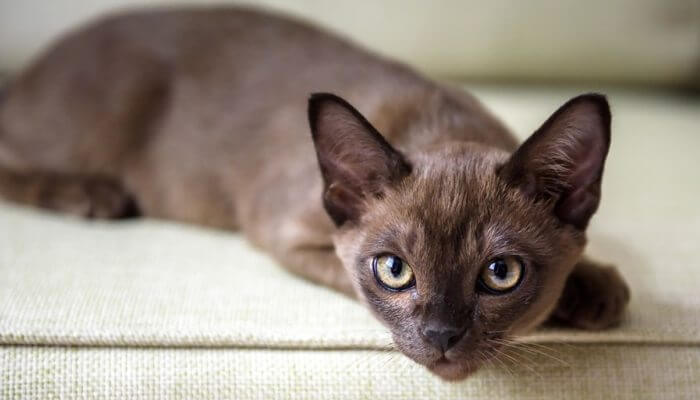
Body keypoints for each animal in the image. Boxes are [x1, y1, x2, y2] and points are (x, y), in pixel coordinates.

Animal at [0, 7, 628, 382]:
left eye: (501, 274)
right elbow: (347, 281)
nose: (441, 337)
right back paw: (93, 196)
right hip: (95, 126)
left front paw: (595, 290)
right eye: (394, 271)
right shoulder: (290, 238)